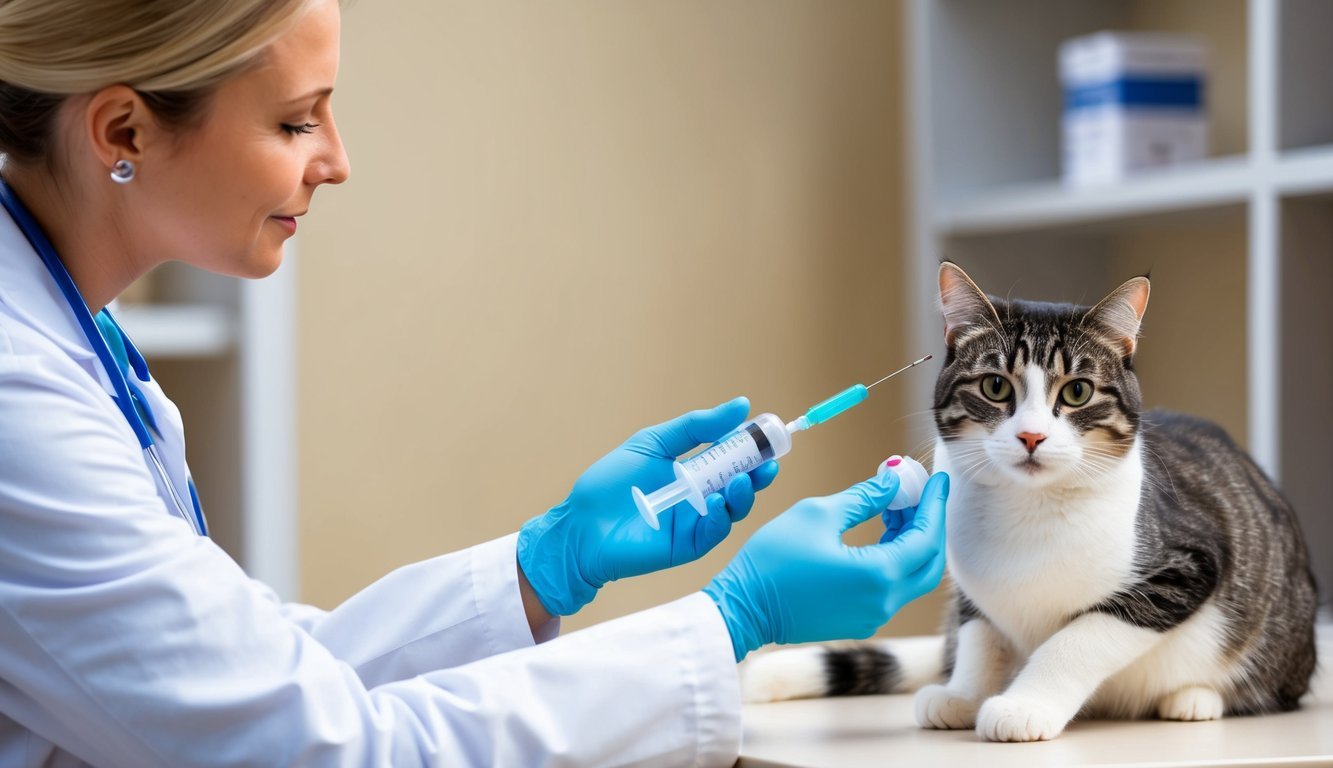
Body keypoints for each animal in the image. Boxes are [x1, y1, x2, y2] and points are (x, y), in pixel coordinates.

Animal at [746, 261, 1317, 741]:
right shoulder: (972, 587)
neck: (1027, 507)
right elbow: (979, 635)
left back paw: (1196, 698)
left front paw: (1023, 706)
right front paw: (964, 694)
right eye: (996, 386)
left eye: (1078, 392)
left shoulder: (1182, 566)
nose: (1031, 436)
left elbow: (1080, 637)